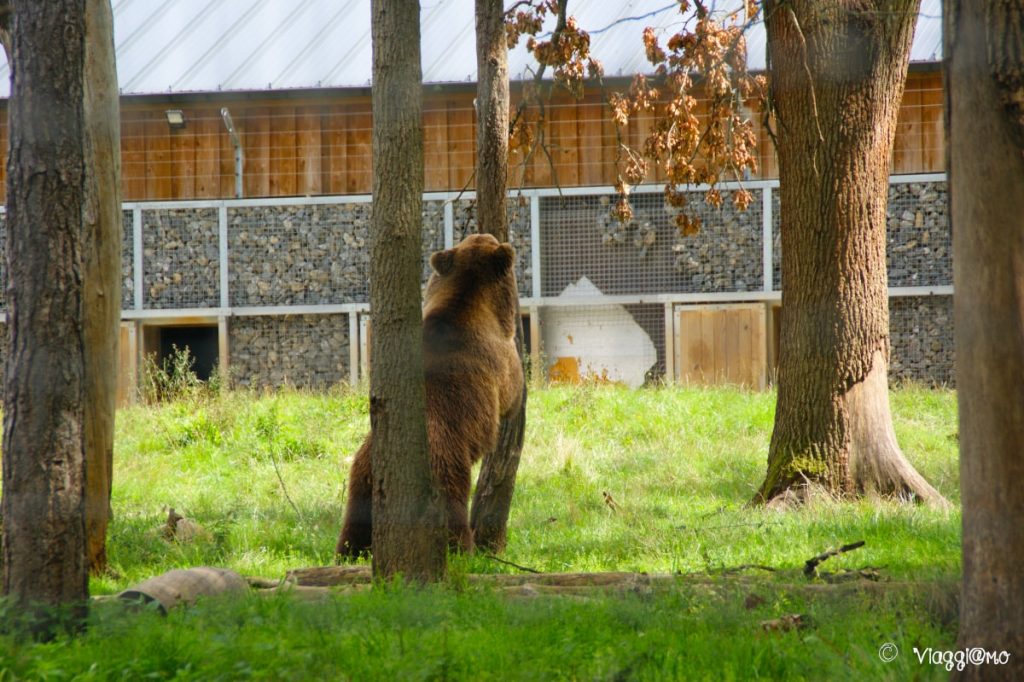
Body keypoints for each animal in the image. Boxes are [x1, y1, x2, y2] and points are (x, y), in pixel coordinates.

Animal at [337, 233, 523, 557]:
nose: (490, 234)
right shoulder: (499, 359)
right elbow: (513, 390)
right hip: (444, 467)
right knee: (452, 509)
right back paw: (463, 549)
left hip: (360, 482)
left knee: (355, 525)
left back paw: (348, 551)